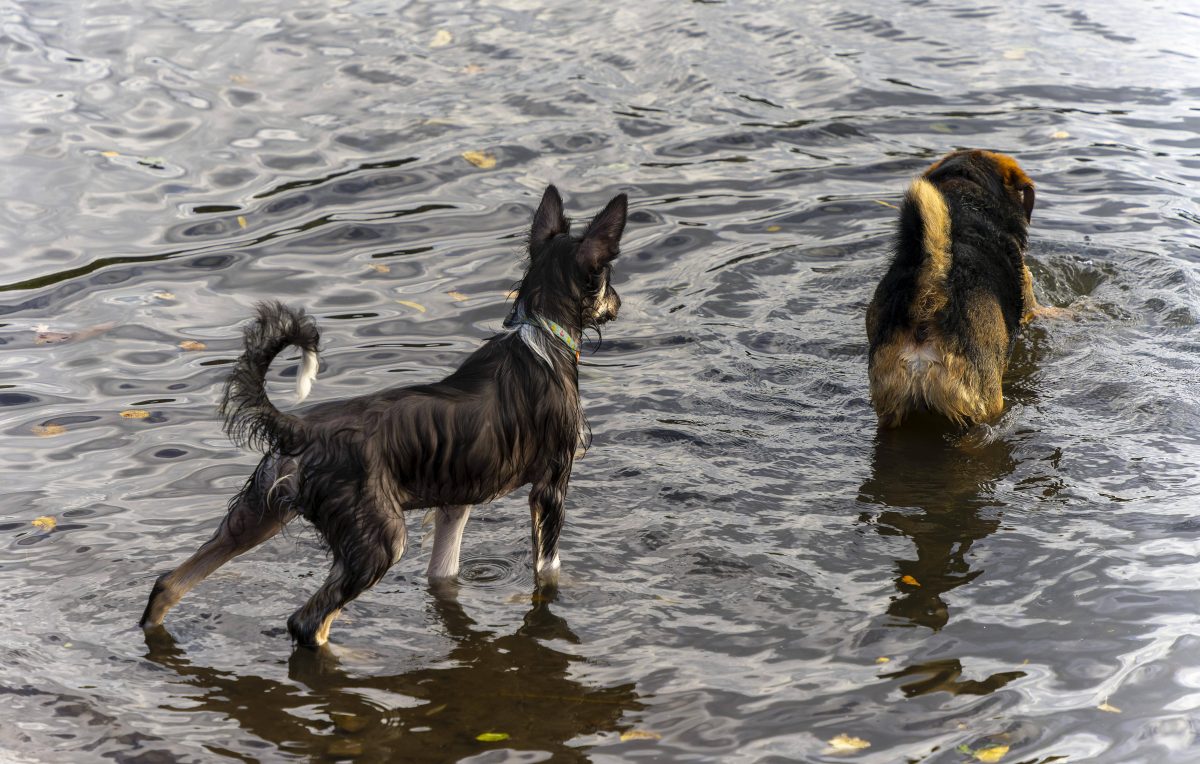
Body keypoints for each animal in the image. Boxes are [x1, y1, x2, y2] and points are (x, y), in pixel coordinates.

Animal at [140, 184, 628, 642]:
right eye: (607, 278)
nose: (619, 303)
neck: (540, 334)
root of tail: (299, 430)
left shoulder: (456, 503)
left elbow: (443, 573)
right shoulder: (550, 488)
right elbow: (548, 570)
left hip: (254, 517)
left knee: (168, 584)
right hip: (379, 541)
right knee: (306, 623)